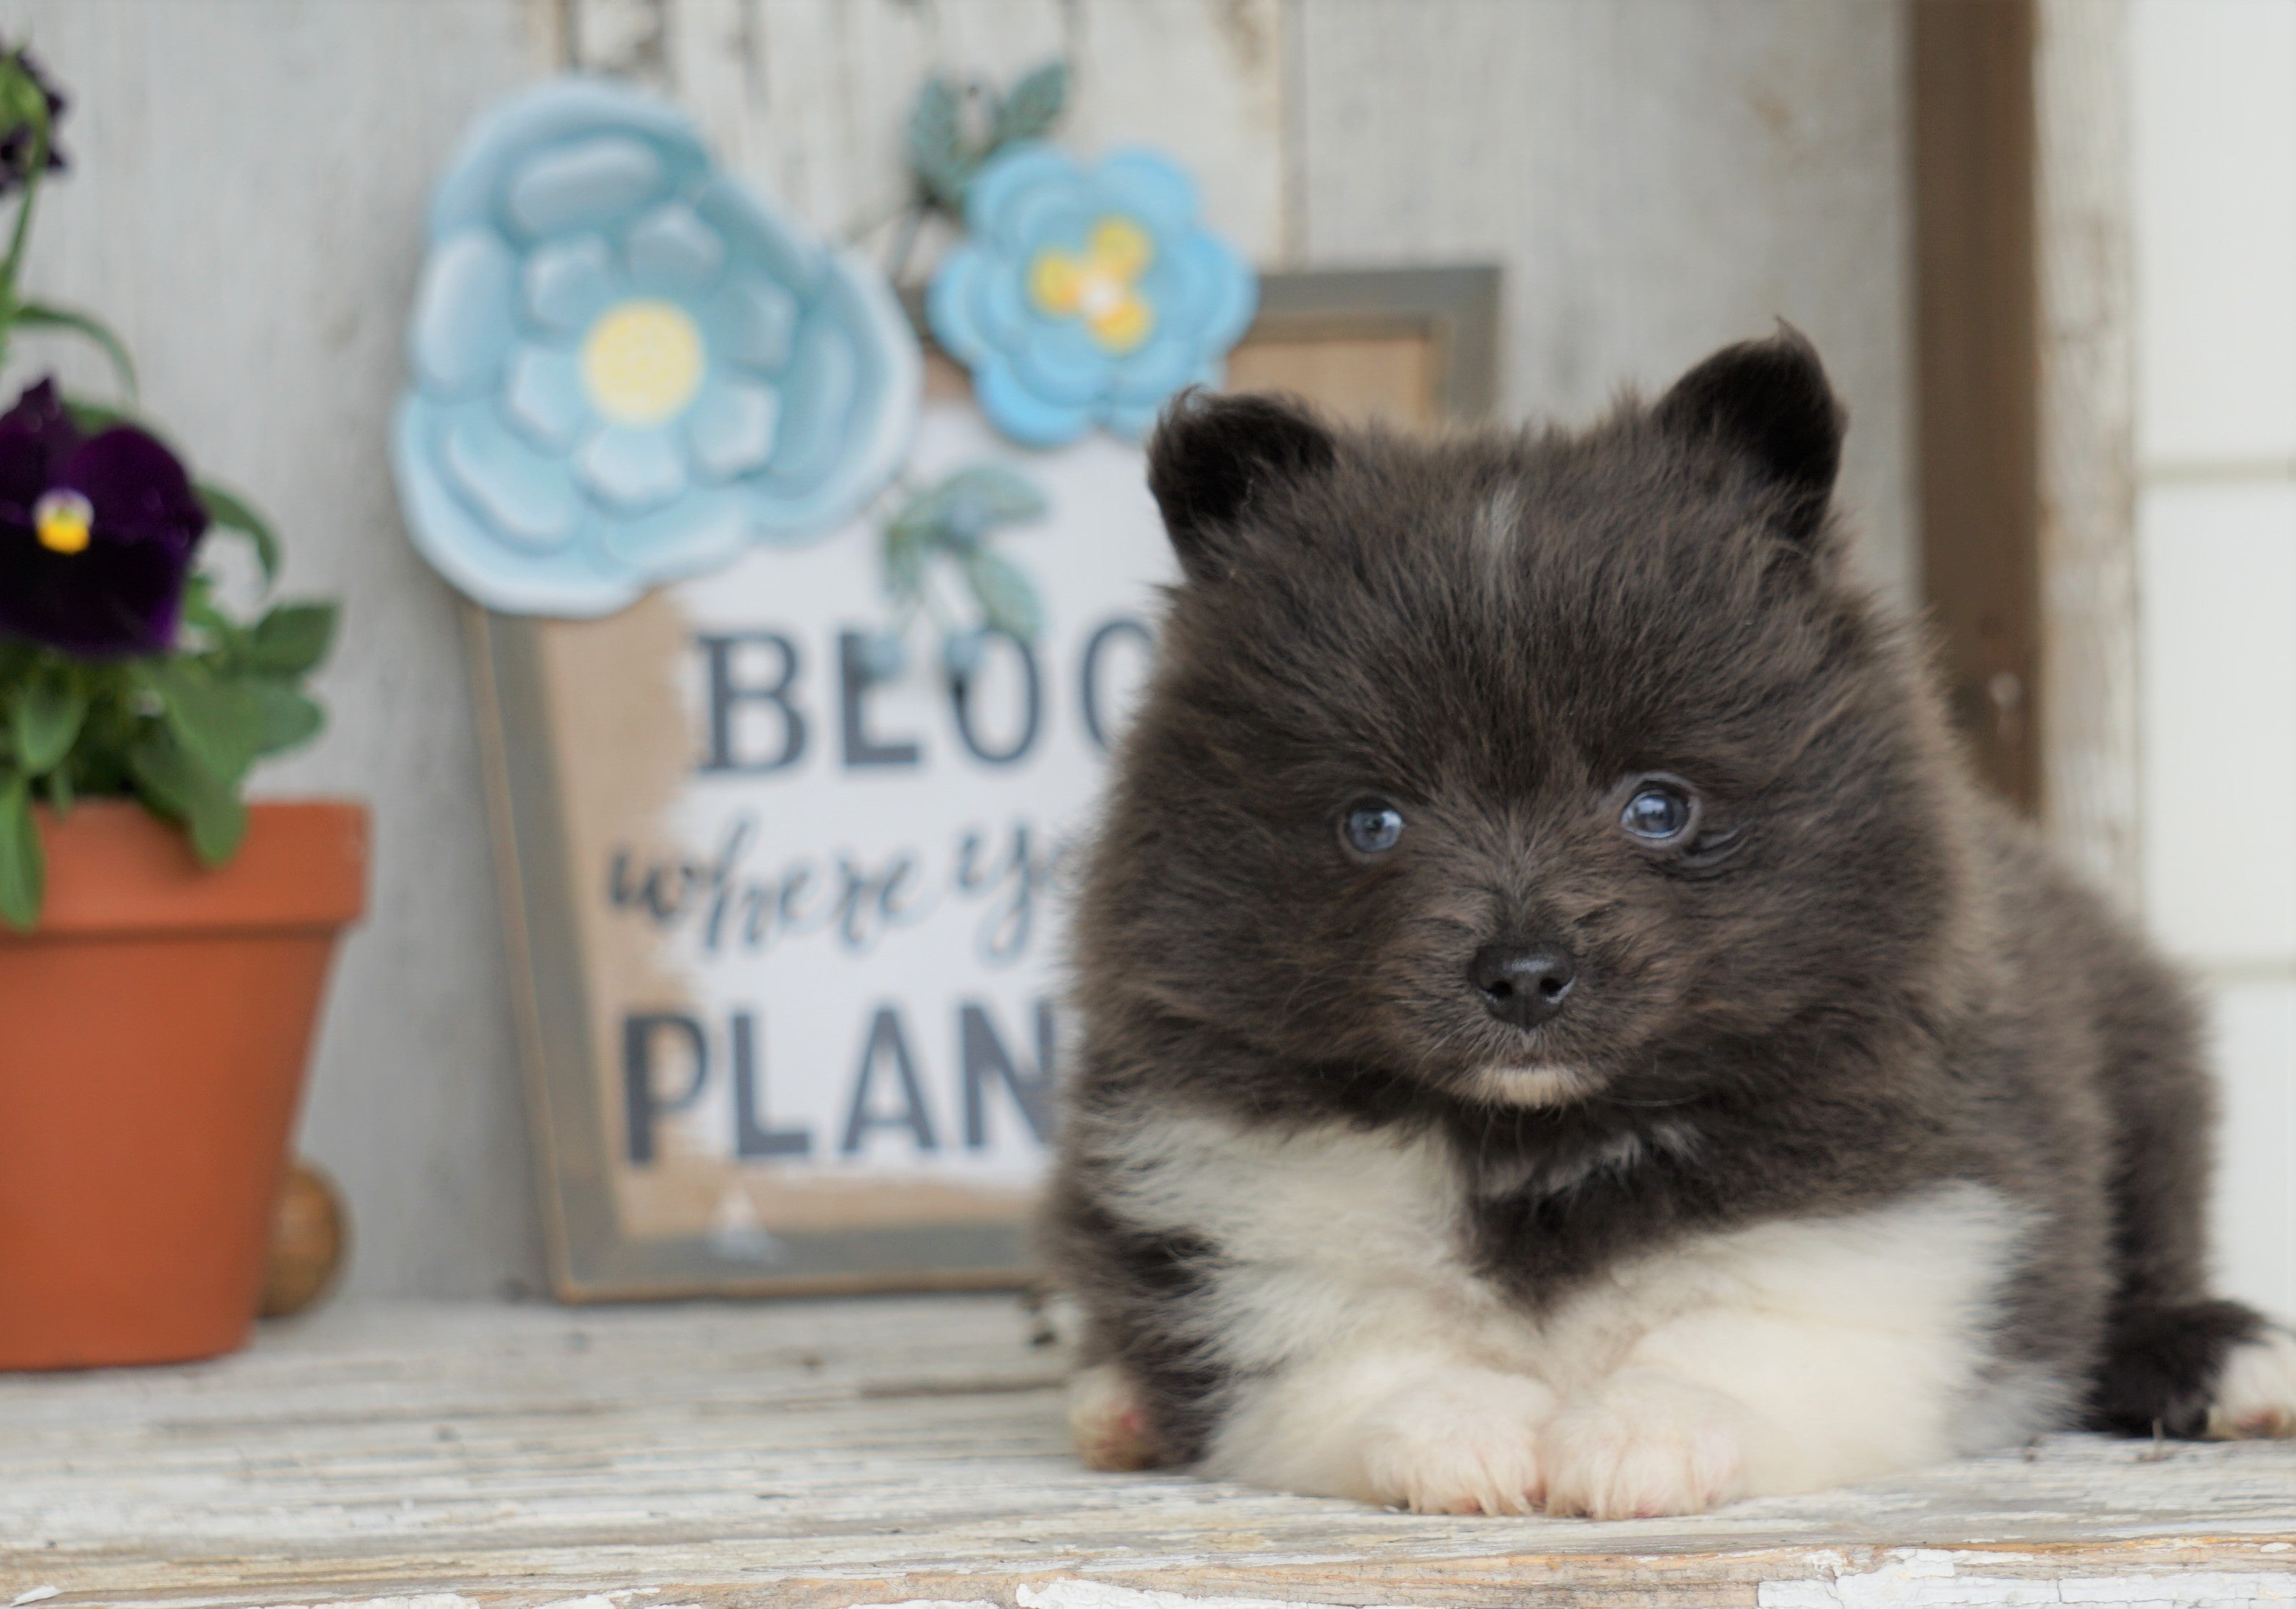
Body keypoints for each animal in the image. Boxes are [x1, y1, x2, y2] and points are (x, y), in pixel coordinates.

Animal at [1047, 332, 2296, 1514]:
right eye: (1371, 821)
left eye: (1658, 806)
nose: (1522, 972)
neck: (1536, 1141)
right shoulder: (1230, 1230)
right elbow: (1361, 1347)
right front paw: (1461, 1435)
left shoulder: (1896, 1214)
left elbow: (1742, 1327)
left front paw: (1640, 1435)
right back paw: (1116, 1405)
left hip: (2149, 1079)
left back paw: (2223, 1357)